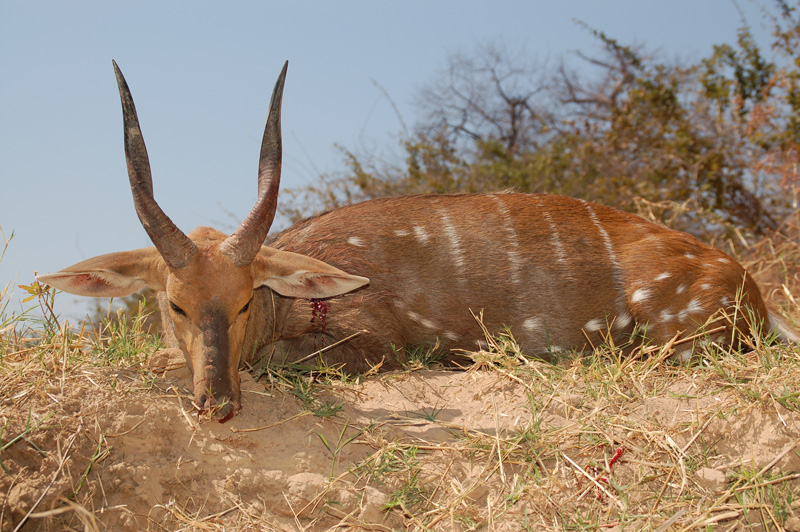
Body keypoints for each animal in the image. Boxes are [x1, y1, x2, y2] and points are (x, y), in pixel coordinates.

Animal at [39, 62, 800, 420]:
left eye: (248, 298)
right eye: (174, 304)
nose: (217, 404)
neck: (302, 297)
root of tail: (753, 292)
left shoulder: (375, 345)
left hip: (675, 336)